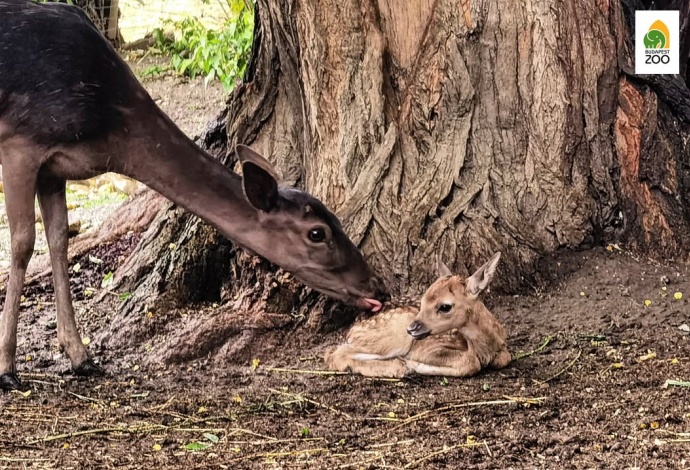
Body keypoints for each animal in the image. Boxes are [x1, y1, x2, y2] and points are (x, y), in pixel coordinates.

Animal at [0, 0, 388, 390]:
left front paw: (81, 356)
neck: (108, 128)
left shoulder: (55, 169)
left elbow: (58, 240)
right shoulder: (22, 142)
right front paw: (7, 368)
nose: (377, 287)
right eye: (317, 233)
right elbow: (22, 243)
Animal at [324, 253, 510, 378]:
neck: (484, 345)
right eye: (422, 302)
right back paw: (396, 367)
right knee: (335, 353)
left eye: (445, 306)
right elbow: (470, 362)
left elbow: (504, 358)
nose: (412, 328)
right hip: (394, 334)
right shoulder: (428, 347)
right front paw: (415, 364)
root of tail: (353, 327)